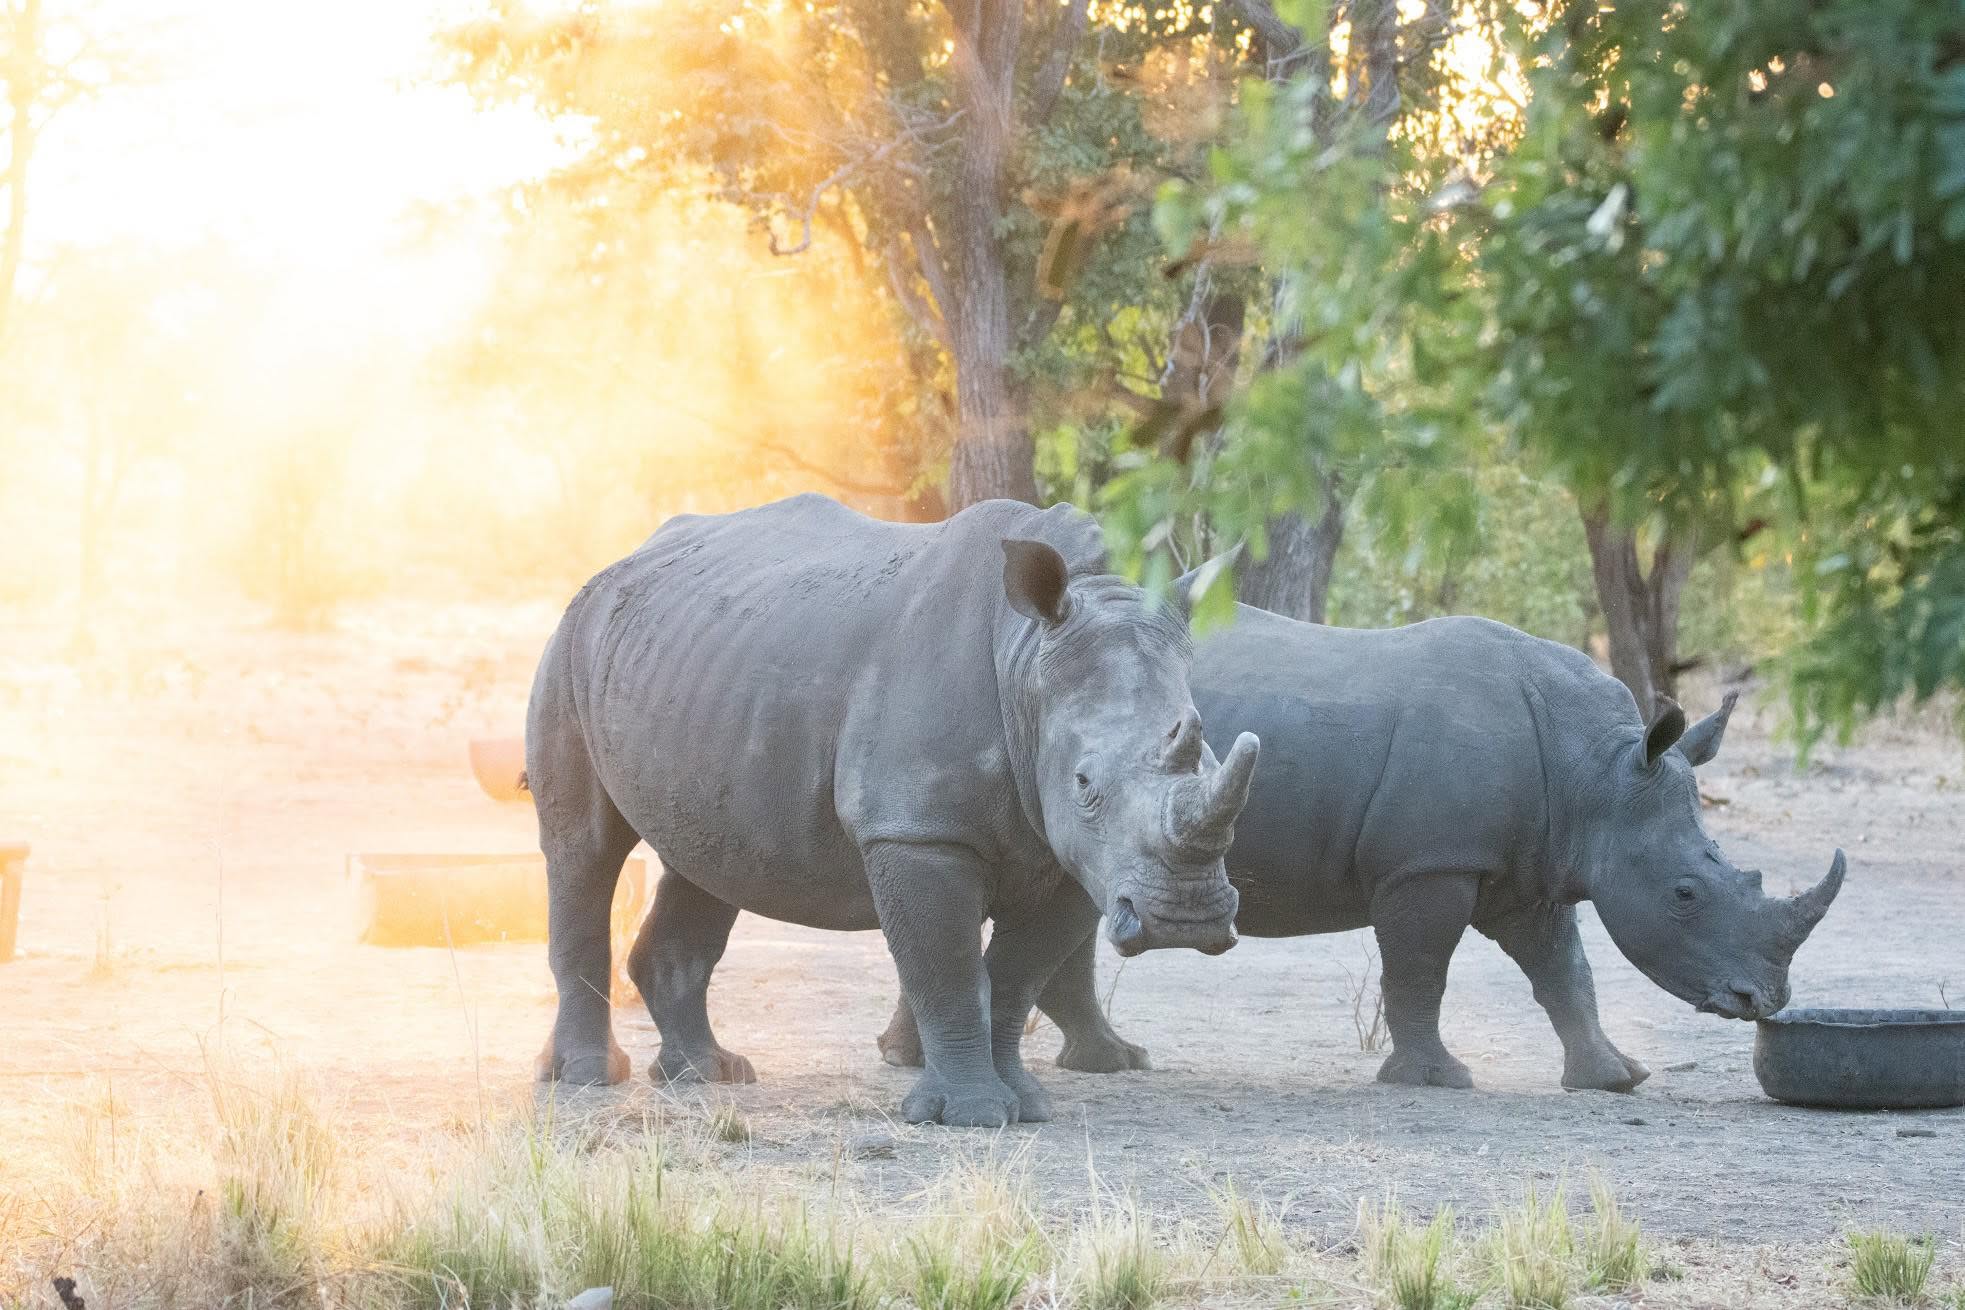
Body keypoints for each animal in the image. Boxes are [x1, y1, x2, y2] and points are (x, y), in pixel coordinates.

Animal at [528, 495, 1259, 1126]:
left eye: (1209, 757)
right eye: (1084, 783)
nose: (1183, 917)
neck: (1025, 657)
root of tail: (618, 566)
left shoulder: (1079, 860)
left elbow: (1014, 976)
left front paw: (1025, 1106)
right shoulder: (916, 830)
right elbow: (950, 969)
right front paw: (971, 1116)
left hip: (701, 673)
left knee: (706, 858)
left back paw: (709, 1074)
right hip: (569, 646)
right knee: (583, 849)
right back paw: (589, 1078)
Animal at [879, 598, 1845, 1093]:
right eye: (1685, 893)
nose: (1763, 1000)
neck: (1596, 773)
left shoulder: (1527, 866)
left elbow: (1563, 972)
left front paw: (1614, 1079)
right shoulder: (1432, 863)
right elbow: (1419, 970)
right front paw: (1435, 1079)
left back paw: (1086, 1063)